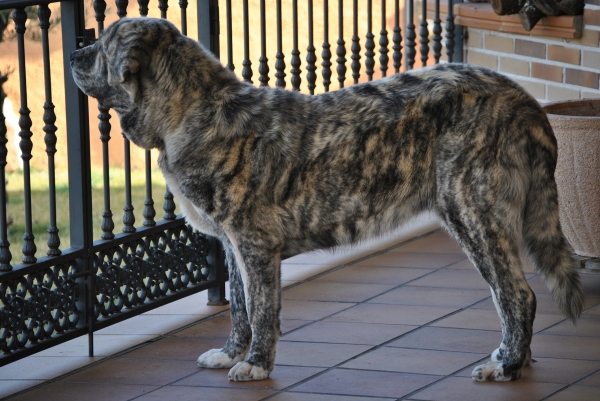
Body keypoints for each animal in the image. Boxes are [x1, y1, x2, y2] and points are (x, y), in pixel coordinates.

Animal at [69, 18, 580, 382]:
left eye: (104, 44)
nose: (74, 52)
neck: (196, 111)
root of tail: (526, 104)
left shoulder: (255, 244)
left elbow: (262, 307)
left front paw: (256, 364)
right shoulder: (233, 245)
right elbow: (238, 305)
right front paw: (231, 354)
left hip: (472, 212)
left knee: (516, 295)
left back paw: (506, 366)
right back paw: (516, 360)